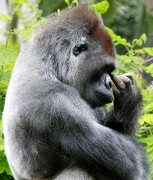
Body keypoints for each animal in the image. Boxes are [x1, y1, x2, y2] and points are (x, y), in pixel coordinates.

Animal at [2, 4, 149, 179]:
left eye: (110, 71)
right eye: (104, 68)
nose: (108, 83)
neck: (49, 66)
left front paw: (128, 101)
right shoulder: (56, 102)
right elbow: (132, 165)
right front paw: (130, 100)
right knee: (79, 170)